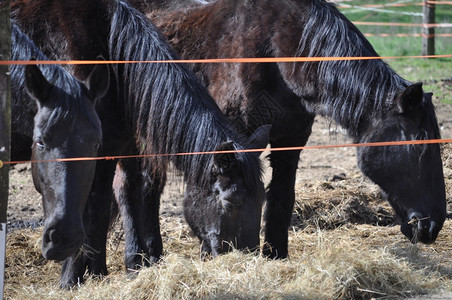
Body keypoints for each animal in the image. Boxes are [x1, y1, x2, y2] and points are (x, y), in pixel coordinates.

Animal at [129, 0, 446, 258]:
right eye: (419, 147)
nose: (432, 226)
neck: (278, 51)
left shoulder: (289, 141)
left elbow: (281, 198)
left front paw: (274, 255)